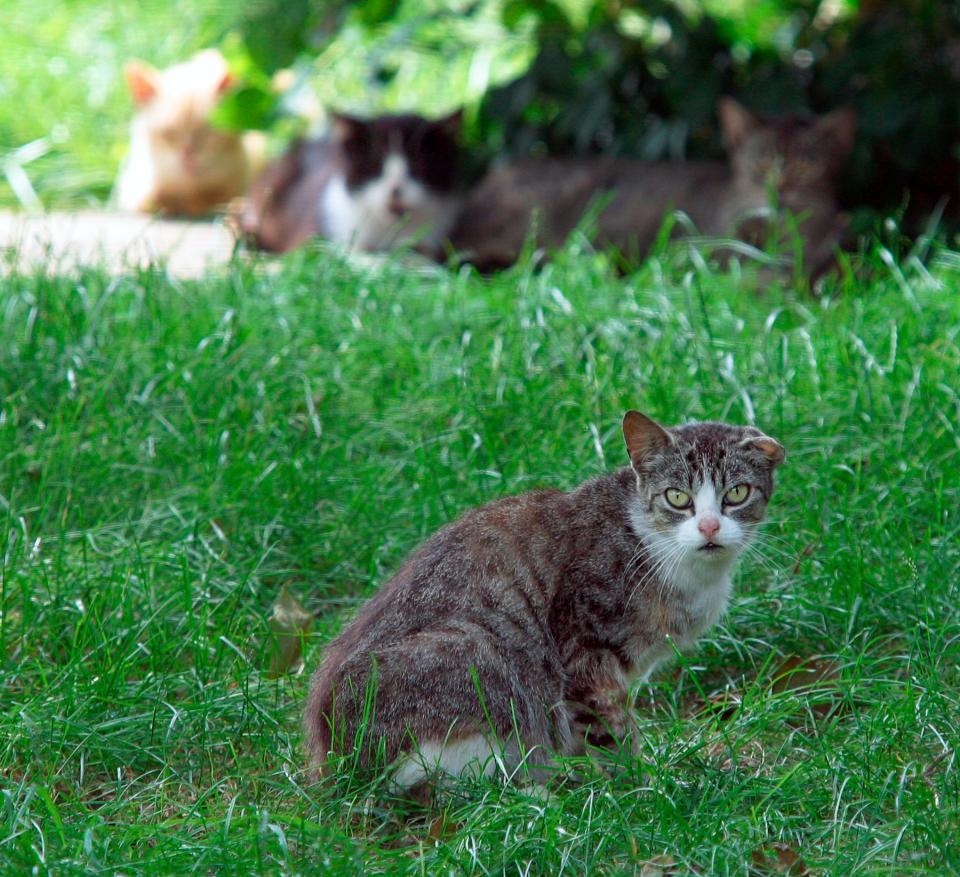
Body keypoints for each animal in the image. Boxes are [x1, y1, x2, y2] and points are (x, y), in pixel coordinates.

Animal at [117, 49, 266, 217]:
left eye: (206, 130)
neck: (190, 191)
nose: (188, 154)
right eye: (170, 133)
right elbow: (152, 200)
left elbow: (218, 198)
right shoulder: (132, 191)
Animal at [304, 410, 784, 788]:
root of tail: (335, 756)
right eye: (678, 497)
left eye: (737, 493)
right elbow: (613, 733)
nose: (709, 527)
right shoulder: (586, 656)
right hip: (480, 656)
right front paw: (642, 791)